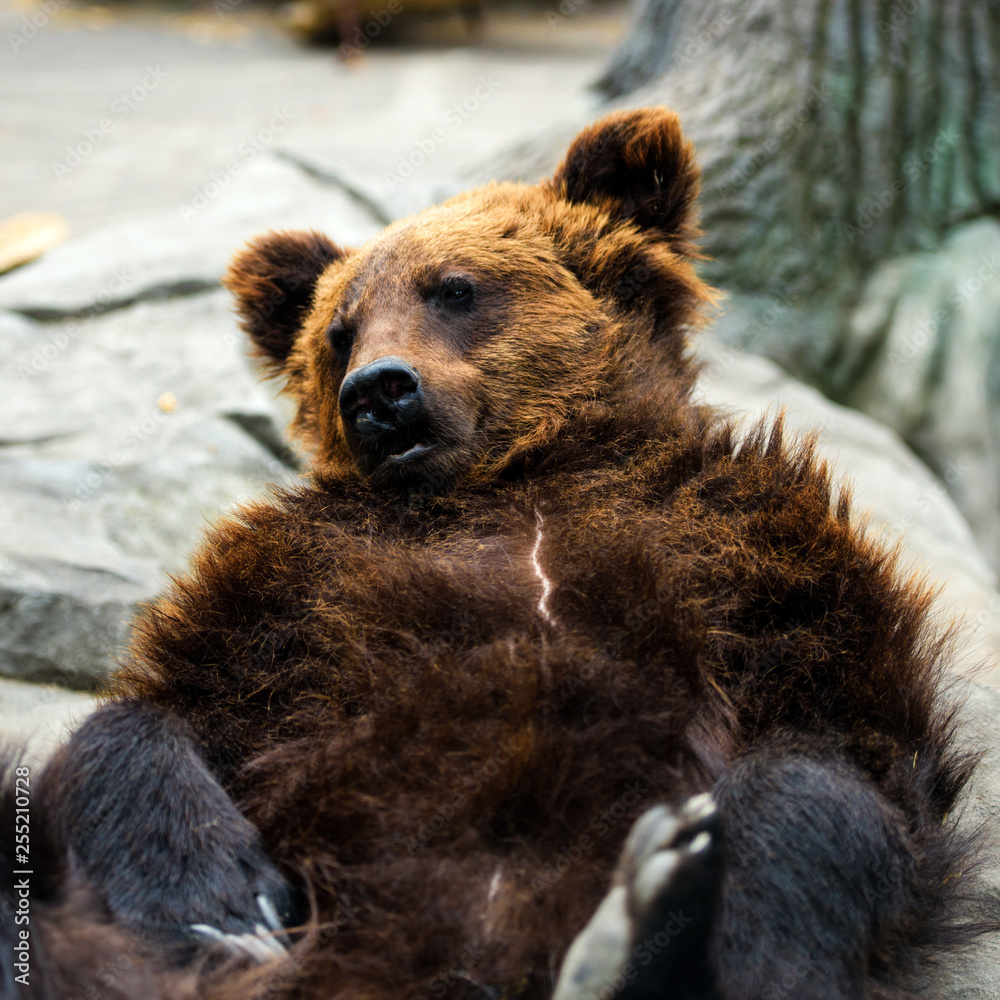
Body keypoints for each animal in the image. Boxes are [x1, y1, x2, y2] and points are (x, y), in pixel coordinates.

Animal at [5, 106, 991, 1000]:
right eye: (339, 331)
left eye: (455, 288)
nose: (378, 391)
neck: (514, 479)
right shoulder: (291, 586)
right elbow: (162, 710)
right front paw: (221, 901)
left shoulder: (752, 553)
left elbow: (828, 767)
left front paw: (700, 872)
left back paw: (632, 930)